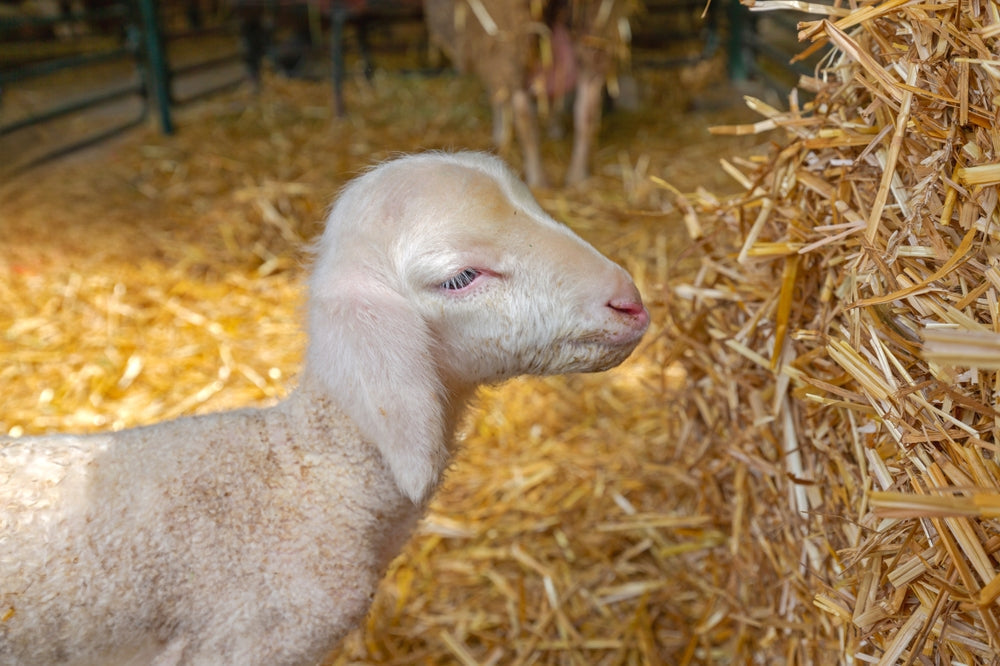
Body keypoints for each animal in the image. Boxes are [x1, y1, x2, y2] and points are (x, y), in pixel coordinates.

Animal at [423, 0, 634, 187]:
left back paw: (537, 179)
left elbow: (499, 93)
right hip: (595, 24)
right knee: (587, 110)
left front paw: (501, 132)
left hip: (510, 31)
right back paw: (577, 177)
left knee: (524, 117)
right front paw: (554, 128)